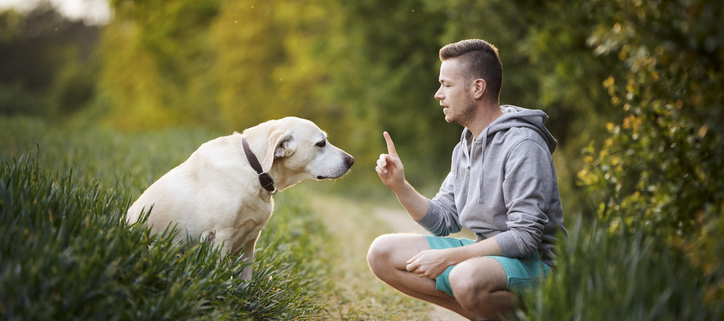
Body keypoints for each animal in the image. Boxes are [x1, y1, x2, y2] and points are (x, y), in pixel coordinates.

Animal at [126, 117, 354, 278]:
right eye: (321, 143)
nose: (351, 160)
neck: (256, 168)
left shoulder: (250, 241)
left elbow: (246, 278)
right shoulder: (221, 236)